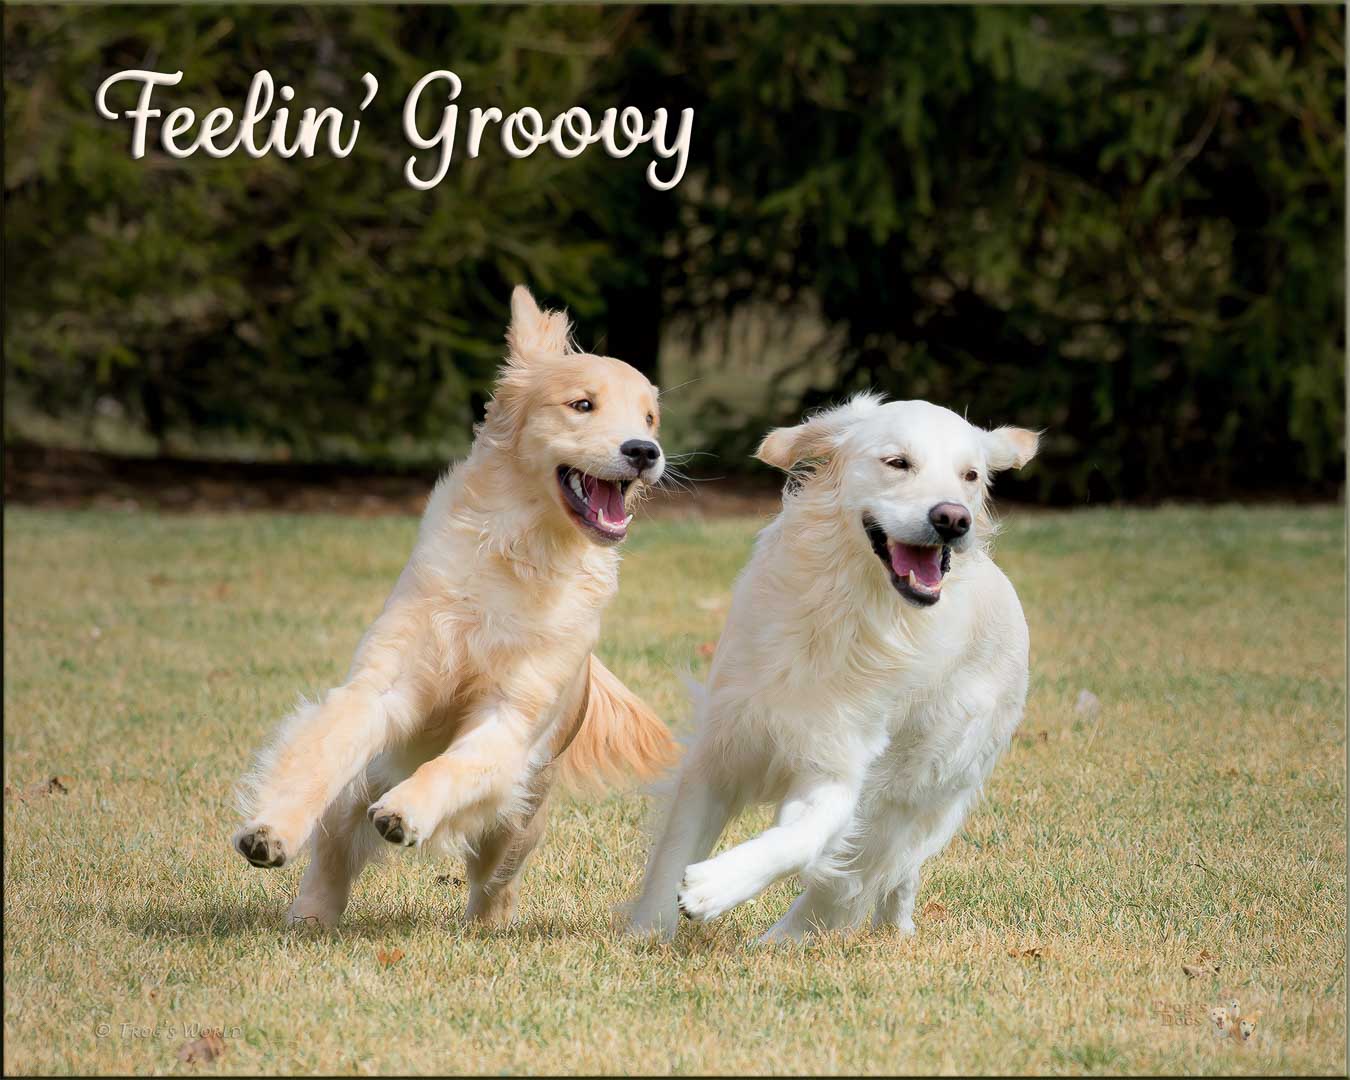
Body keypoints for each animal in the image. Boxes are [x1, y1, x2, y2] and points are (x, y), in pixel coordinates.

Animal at [233, 286, 680, 928]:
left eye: (649, 418)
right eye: (582, 404)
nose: (646, 451)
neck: (521, 553)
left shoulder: (510, 721)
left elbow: (452, 766)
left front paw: (408, 811)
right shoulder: (382, 684)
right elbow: (321, 752)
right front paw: (271, 828)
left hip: (518, 823)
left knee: (494, 883)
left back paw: (485, 926)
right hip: (362, 786)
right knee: (334, 853)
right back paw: (310, 917)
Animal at [626, 391, 1036, 939]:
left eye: (970, 476)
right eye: (897, 462)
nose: (953, 519)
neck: (845, 608)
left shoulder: (838, 771)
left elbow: (800, 841)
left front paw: (718, 885)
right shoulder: (720, 747)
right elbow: (674, 850)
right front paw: (647, 932)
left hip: (913, 784)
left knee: (857, 881)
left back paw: (783, 940)